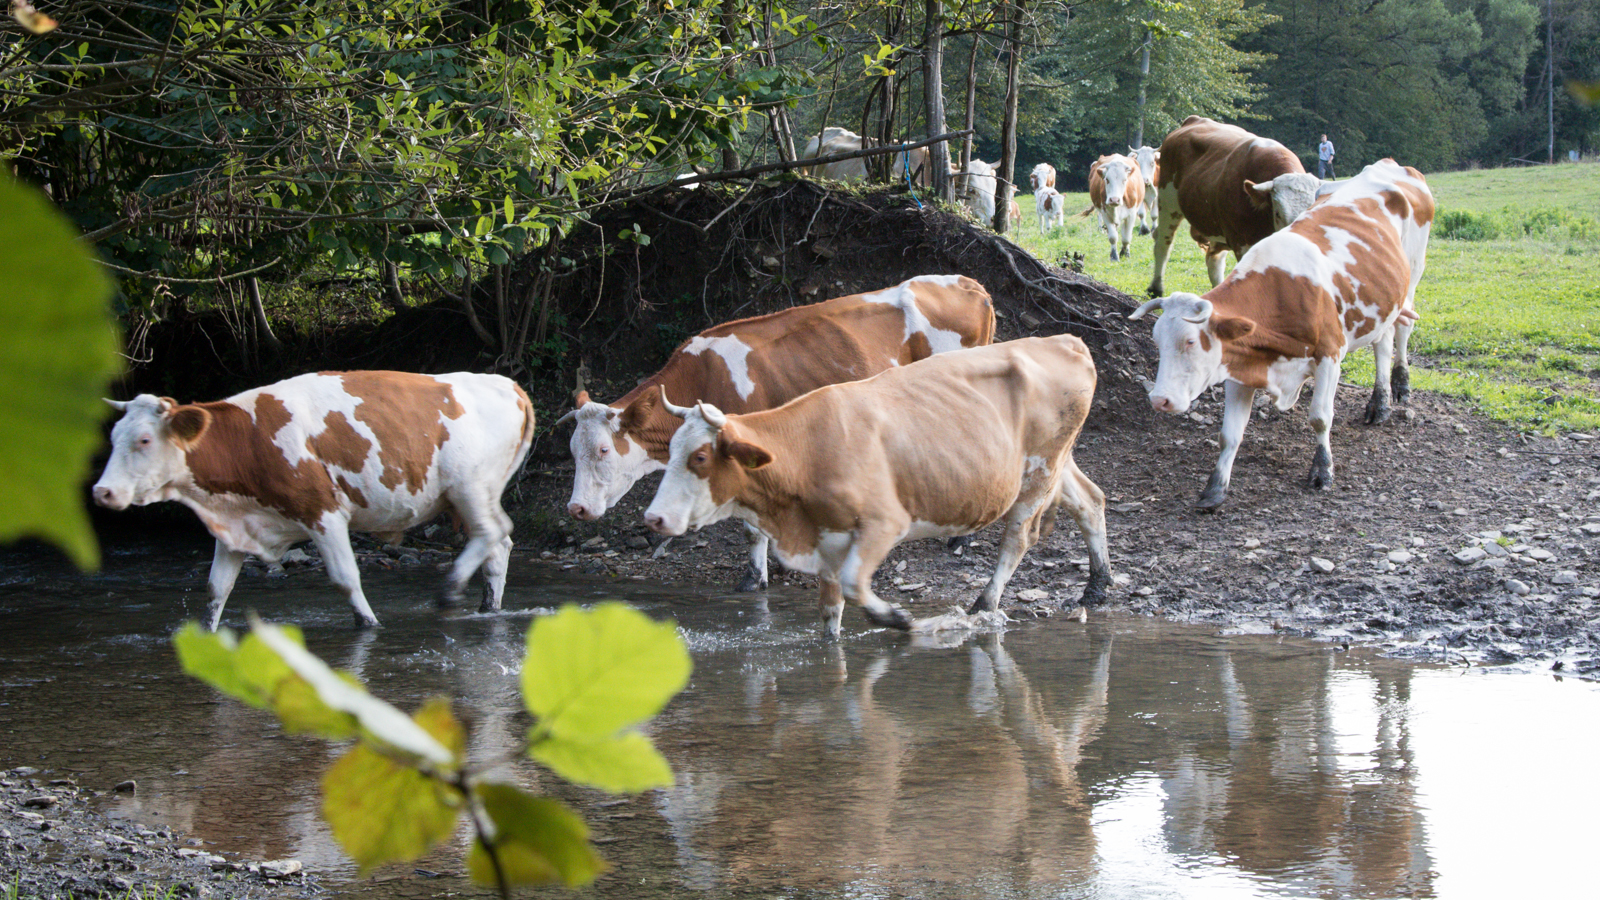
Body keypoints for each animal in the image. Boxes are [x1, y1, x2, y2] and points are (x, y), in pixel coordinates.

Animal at [90, 368, 534, 627]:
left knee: (494, 532)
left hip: (470, 486)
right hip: (470, 494)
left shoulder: (324, 512)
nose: (101, 491)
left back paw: (449, 592)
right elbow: (216, 590)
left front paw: (370, 624)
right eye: (113, 437)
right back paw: (488, 608)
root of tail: (507, 383)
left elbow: (346, 578)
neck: (249, 439)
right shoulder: (235, 525)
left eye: (144, 440)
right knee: (498, 544)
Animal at [556, 273, 992, 589]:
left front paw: (756, 578)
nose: (575, 508)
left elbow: (752, 526)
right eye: (573, 452)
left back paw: (960, 537)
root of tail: (967, 282)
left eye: (603, 450)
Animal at [643, 334, 1107, 637]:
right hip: (1057, 463)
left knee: (1017, 537)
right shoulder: (825, 540)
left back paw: (985, 604)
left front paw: (897, 619)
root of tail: (1064, 340)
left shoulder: (884, 523)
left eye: (700, 457)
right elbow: (830, 613)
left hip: (1040, 470)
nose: (654, 517)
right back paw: (1096, 588)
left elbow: (854, 584)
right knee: (1091, 501)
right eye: (670, 450)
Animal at [1126, 158, 1440, 509]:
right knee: (1382, 342)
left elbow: (1320, 417)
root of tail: (1388, 165)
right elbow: (1229, 433)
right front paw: (1215, 488)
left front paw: (1323, 470)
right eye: (1158, 343)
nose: (1159, 399)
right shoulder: (1240, 363)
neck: (1280, 294)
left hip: (1412, 277)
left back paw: (1397, 387)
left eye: (1191, 341)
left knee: (1400, 332)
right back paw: (1379, 402)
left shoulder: (1330, 355)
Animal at [1152, 113, 1324, 296]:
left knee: (1214, 259)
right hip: (1168, 203)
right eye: (1278, 214)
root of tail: (1194, 119)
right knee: (1163, 243)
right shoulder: (1242, 242)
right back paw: (1156, 288)